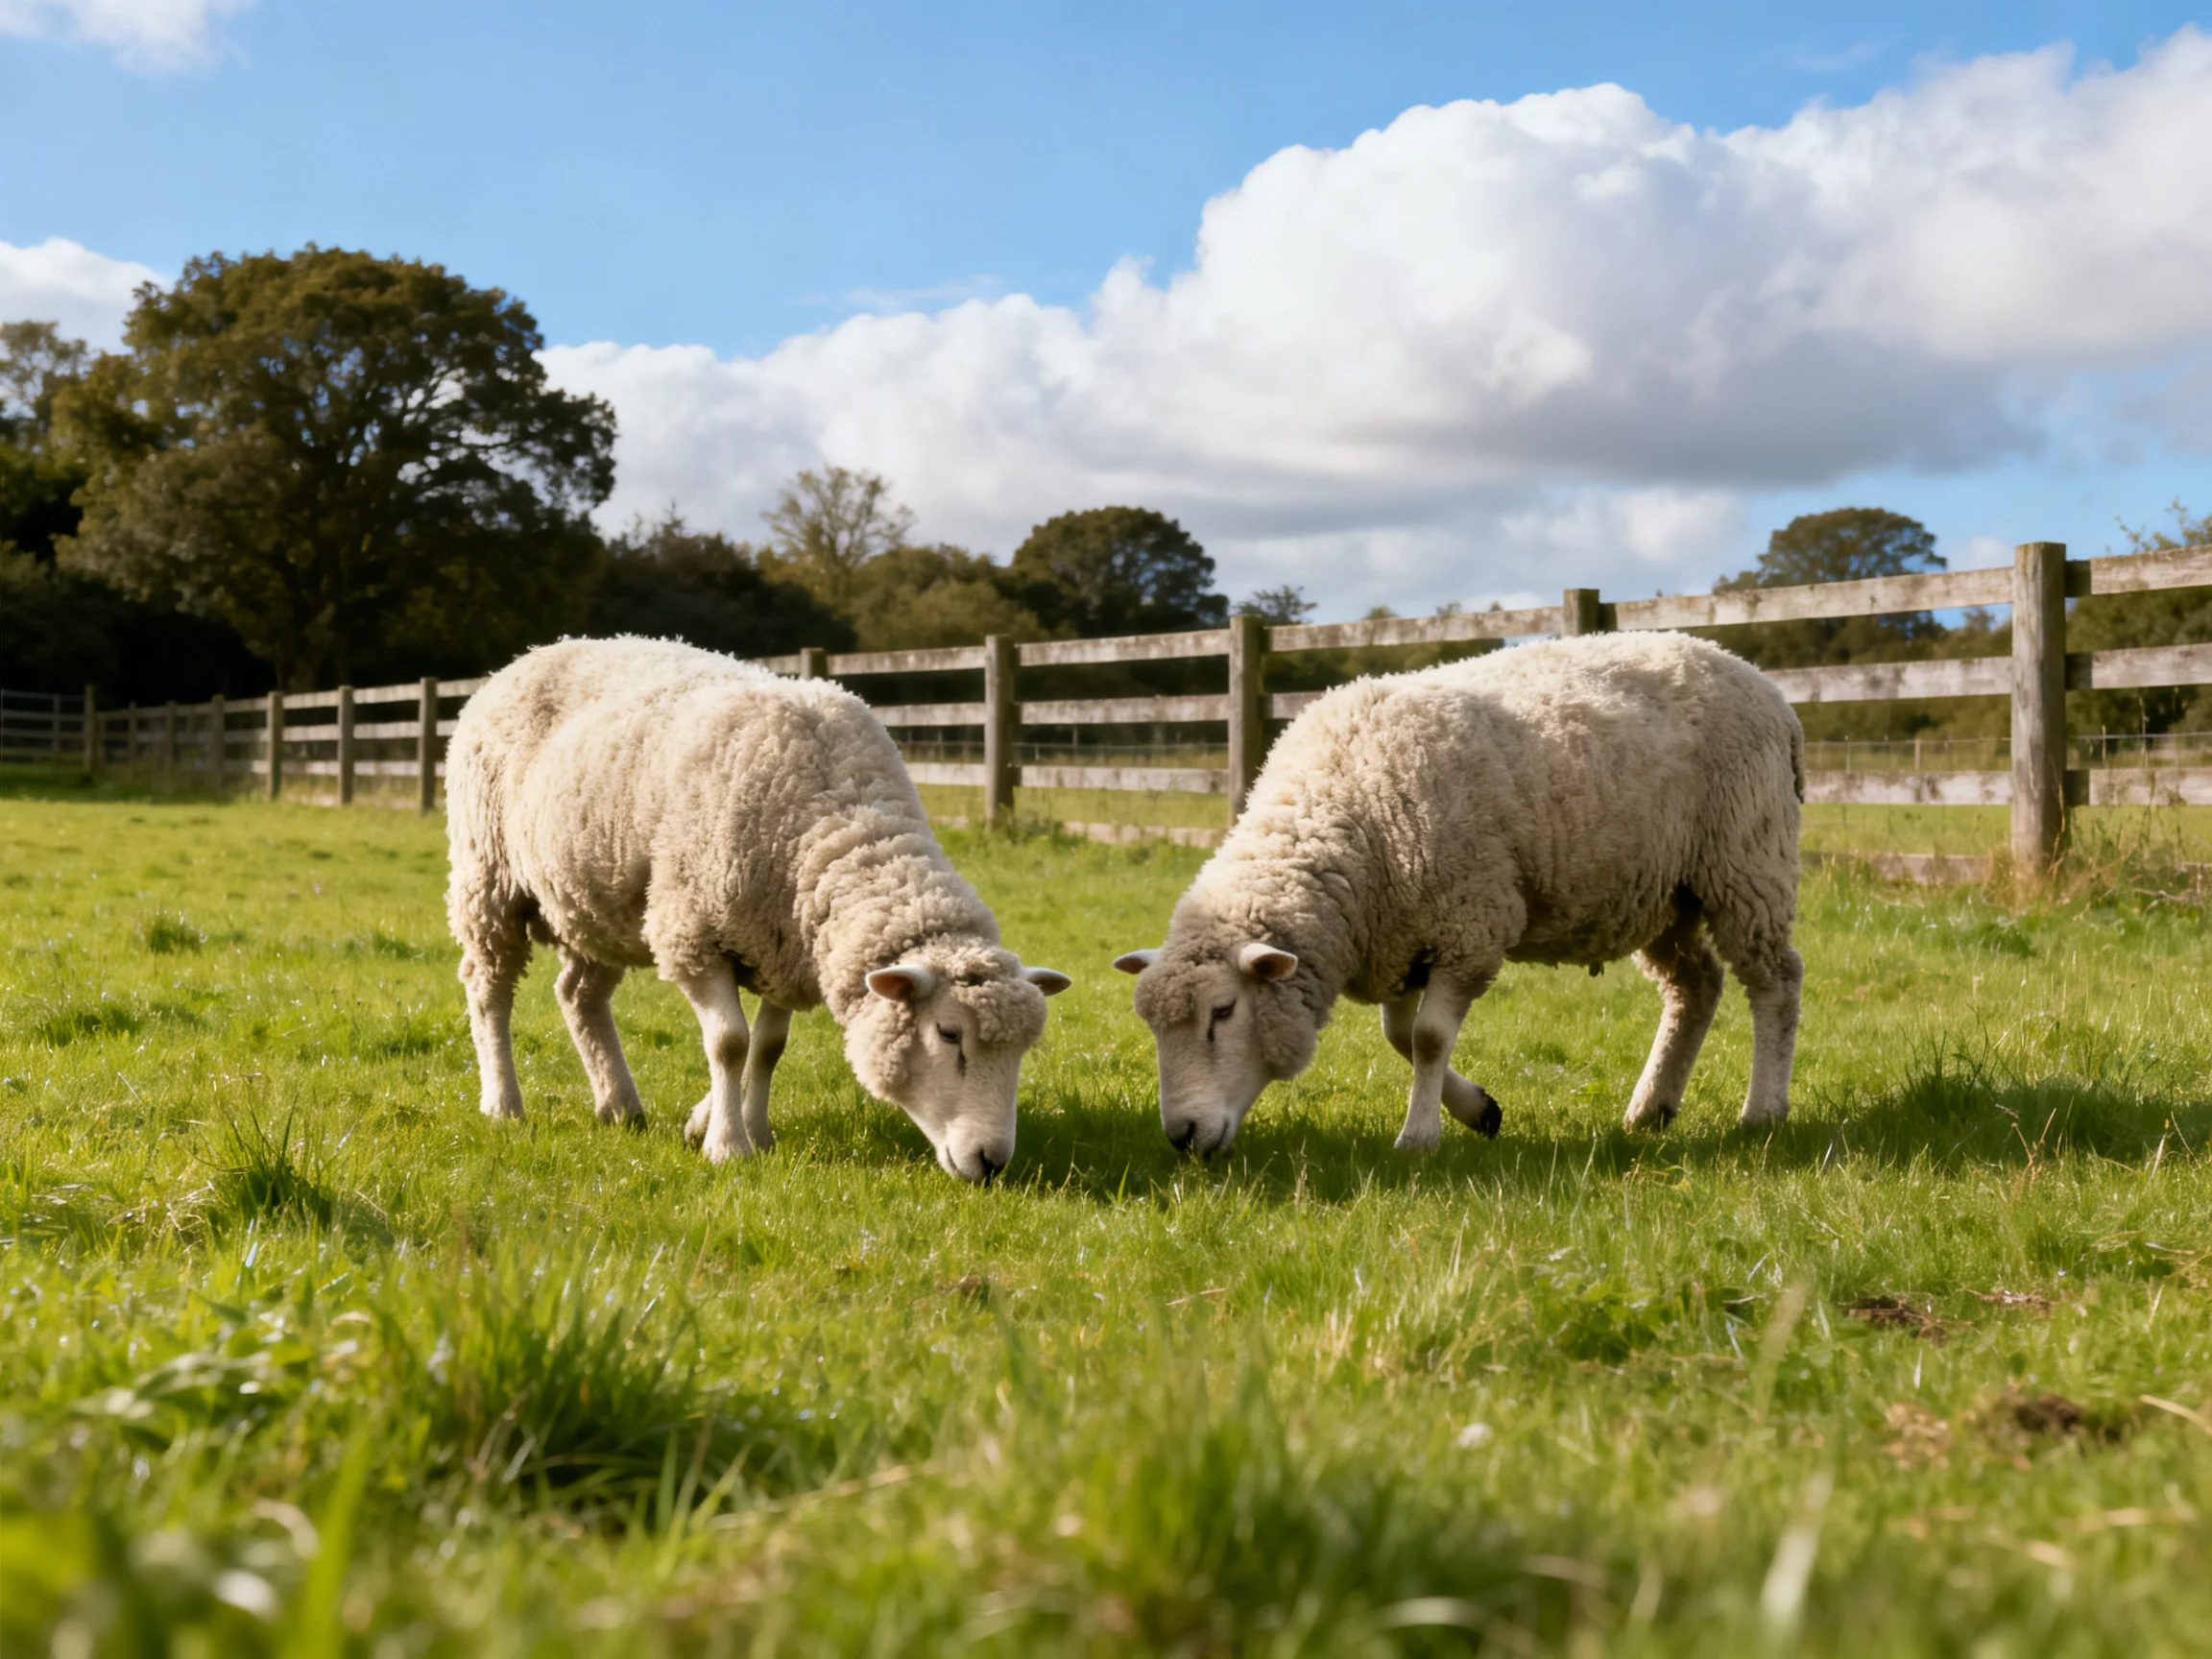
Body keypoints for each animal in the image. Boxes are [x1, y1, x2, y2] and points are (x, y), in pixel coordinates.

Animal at [444, 636, 1070, 1183]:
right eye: (947, 1034)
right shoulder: (693, 933)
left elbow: (768, 1049)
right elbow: (730, 1043)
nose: (992, 1162)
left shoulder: (788, 948)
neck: (838, 821)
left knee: (579, 996)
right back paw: (503, 1103)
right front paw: (728, 1146)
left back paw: (619, 1104)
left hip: (597, 904)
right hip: (489, 877)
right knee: (488, 989)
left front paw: (744, 1128)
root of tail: (527, 657)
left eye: (1022, 1050)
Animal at [1113, 631, 1803, 1155]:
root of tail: (1761, 682)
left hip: (1746, 861)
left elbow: (1426, 1038)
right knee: (1696, 986)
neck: (1344, 817)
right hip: (1664, 894)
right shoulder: (1398, 939)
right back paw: (1651, 1107)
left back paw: (1762, 1110)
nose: (1181, 1136)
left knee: (1775, 981)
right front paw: (1480, 1110)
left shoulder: (1469, 924)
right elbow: (1398, 1037)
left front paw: (1419, 1138)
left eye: (1223, 1012)